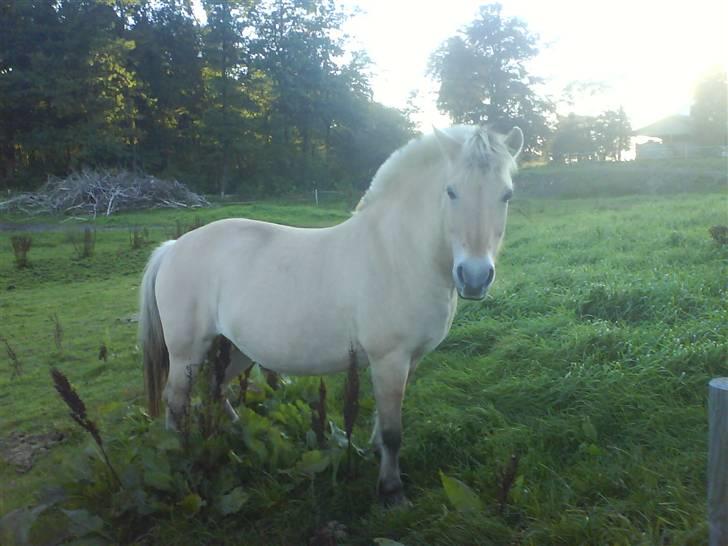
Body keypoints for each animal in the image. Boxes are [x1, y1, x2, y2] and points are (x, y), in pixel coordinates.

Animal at [138, 123, 524, 502]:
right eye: (451, 191)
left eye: (507, 195)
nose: (474, 277)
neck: (397, 254)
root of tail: (173, 247)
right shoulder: (389, 359)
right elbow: (392, 429)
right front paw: (391, 491)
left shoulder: (409, 360)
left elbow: (383, 424)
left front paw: (375, 456)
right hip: (187, 353)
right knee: (176, 400)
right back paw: (180, 457)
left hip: (234, 348)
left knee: (216, 390)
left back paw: (239, 432)